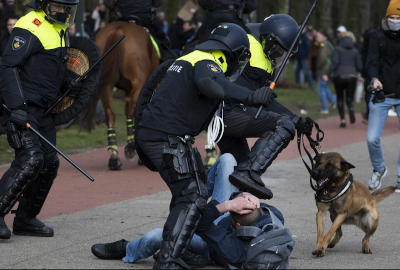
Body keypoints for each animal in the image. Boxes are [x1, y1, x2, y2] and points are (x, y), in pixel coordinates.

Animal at [80, 21, 160, 170]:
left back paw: (114, 155)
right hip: (139, 82)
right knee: (130, 104)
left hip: (106, 85)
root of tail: (118, 30)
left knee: (110, 114)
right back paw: (130, 147)